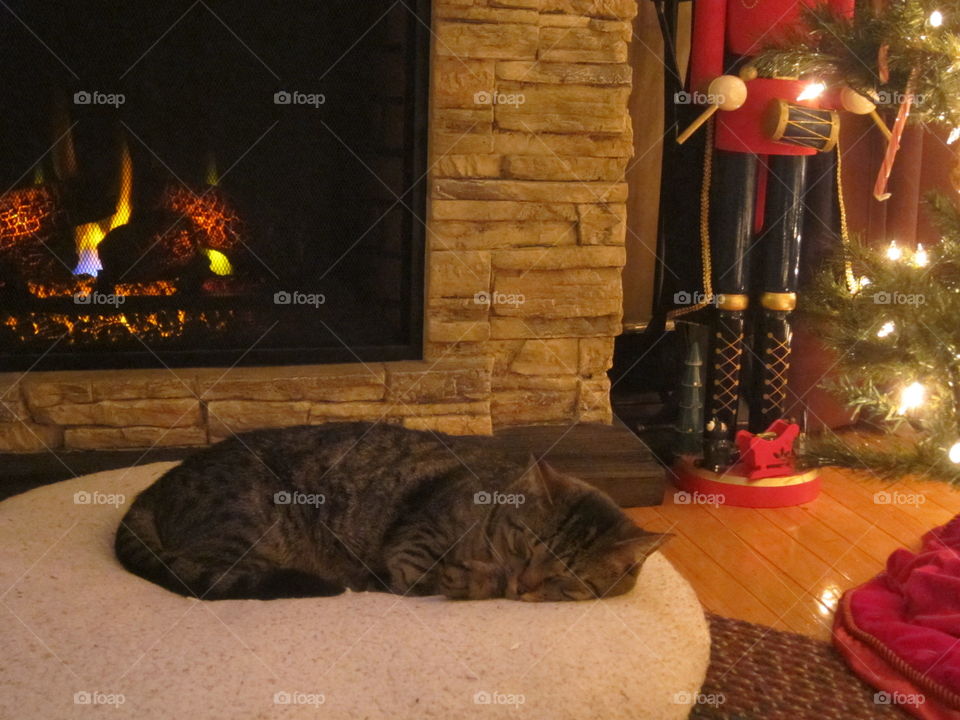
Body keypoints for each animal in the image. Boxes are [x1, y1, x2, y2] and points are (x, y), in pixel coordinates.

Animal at [114, 422, 668, 600]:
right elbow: (431, 575)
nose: (525, 584)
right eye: (524, 546)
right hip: (246, 533)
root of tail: (153, 488)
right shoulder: (416, 539)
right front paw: (478, 579)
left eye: (566, 578)